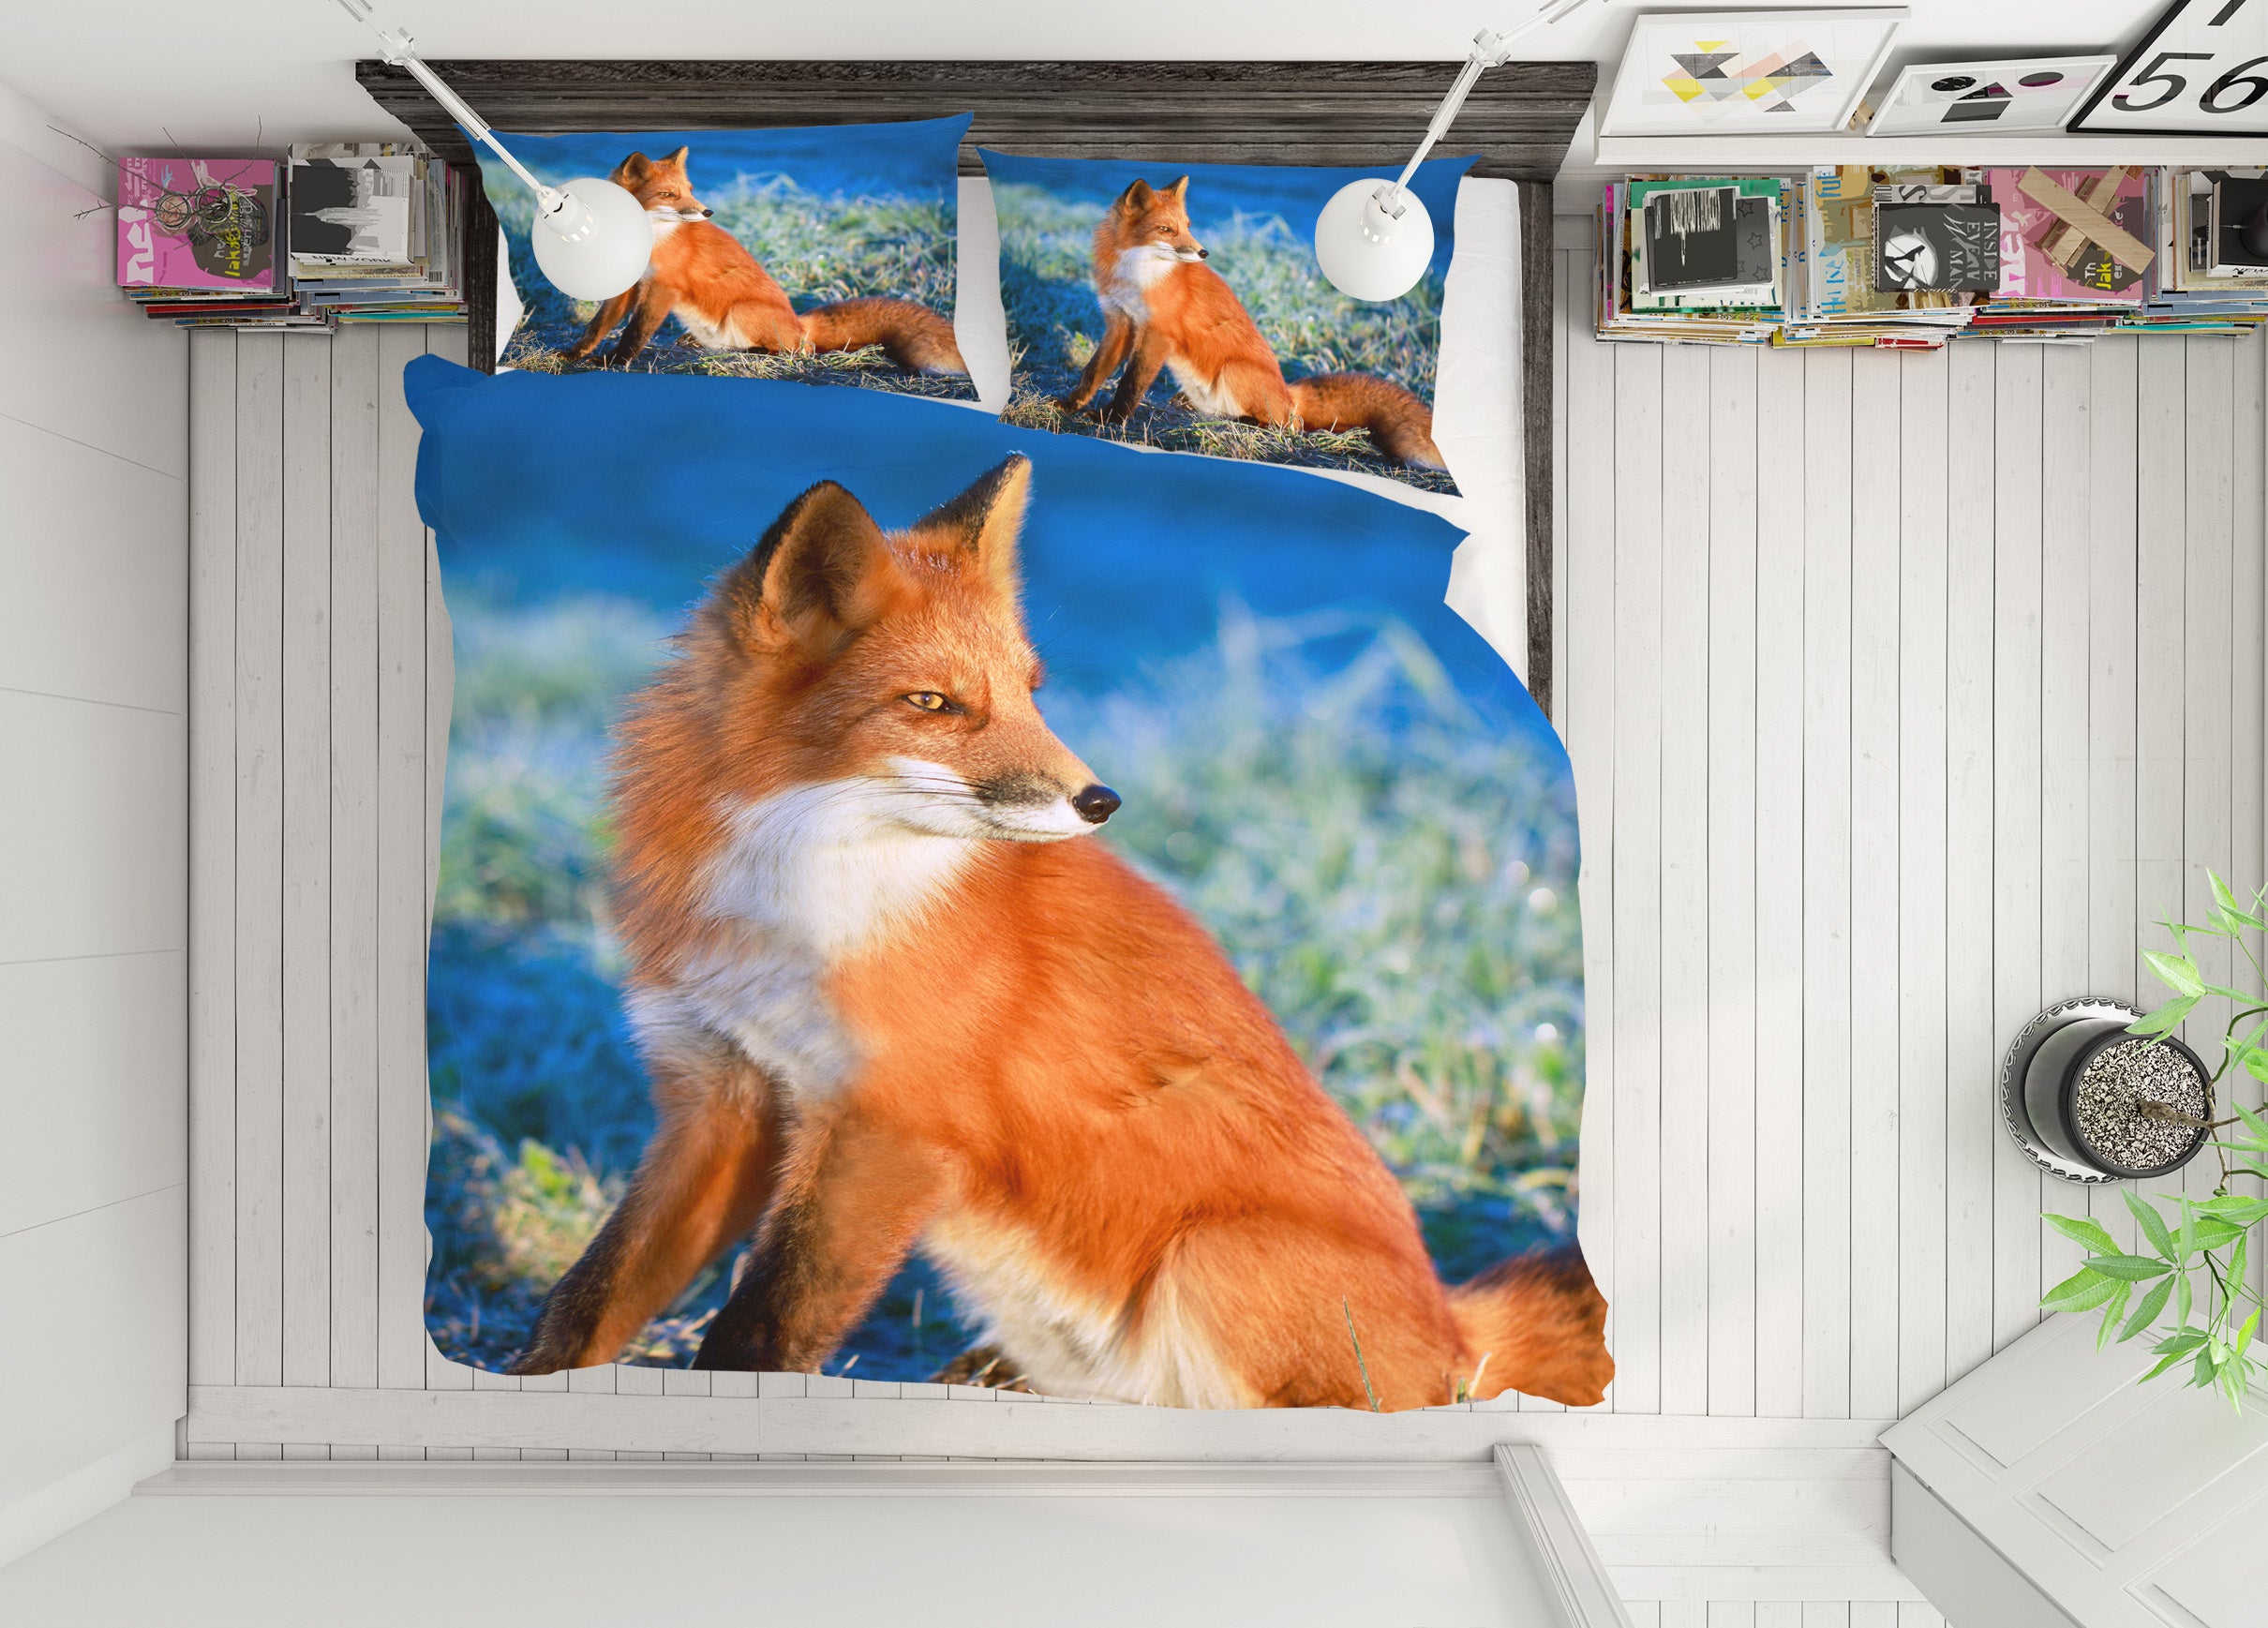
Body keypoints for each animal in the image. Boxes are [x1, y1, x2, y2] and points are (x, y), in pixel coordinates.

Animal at [507, 455, 1610, 1409]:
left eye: (1030, 690)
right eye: (933, 703)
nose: (1101, 801)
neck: (800, 904)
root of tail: (1455, 1329)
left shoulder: (888, 1130)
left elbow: (762, 1332)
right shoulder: (719, 1100)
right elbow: (586, 1301)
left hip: (1209, 1260)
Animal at [564, 146, 966, 376]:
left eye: (690, 190)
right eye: (668, 194)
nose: (707, 212)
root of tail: (800, 322)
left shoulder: (664, 287)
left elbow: (634, 332)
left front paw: (615, 364)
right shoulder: (630, 285)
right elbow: (597, 326)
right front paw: (574, 354)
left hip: (742, 311)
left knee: (799, 350)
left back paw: (756, 352)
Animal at [1061, 176, 1447, 471]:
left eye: (1187, 227)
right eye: (1165, 230)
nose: (1203, 253)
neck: (1137, 274)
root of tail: (1290, 393)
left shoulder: (1157, 334)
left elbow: (1131, 383)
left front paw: (1111, 421)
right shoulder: (1120, 323)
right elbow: (1093, 372)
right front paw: (1069, 406)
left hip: (1234, 370)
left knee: (1288, 425)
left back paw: (1244, 422)